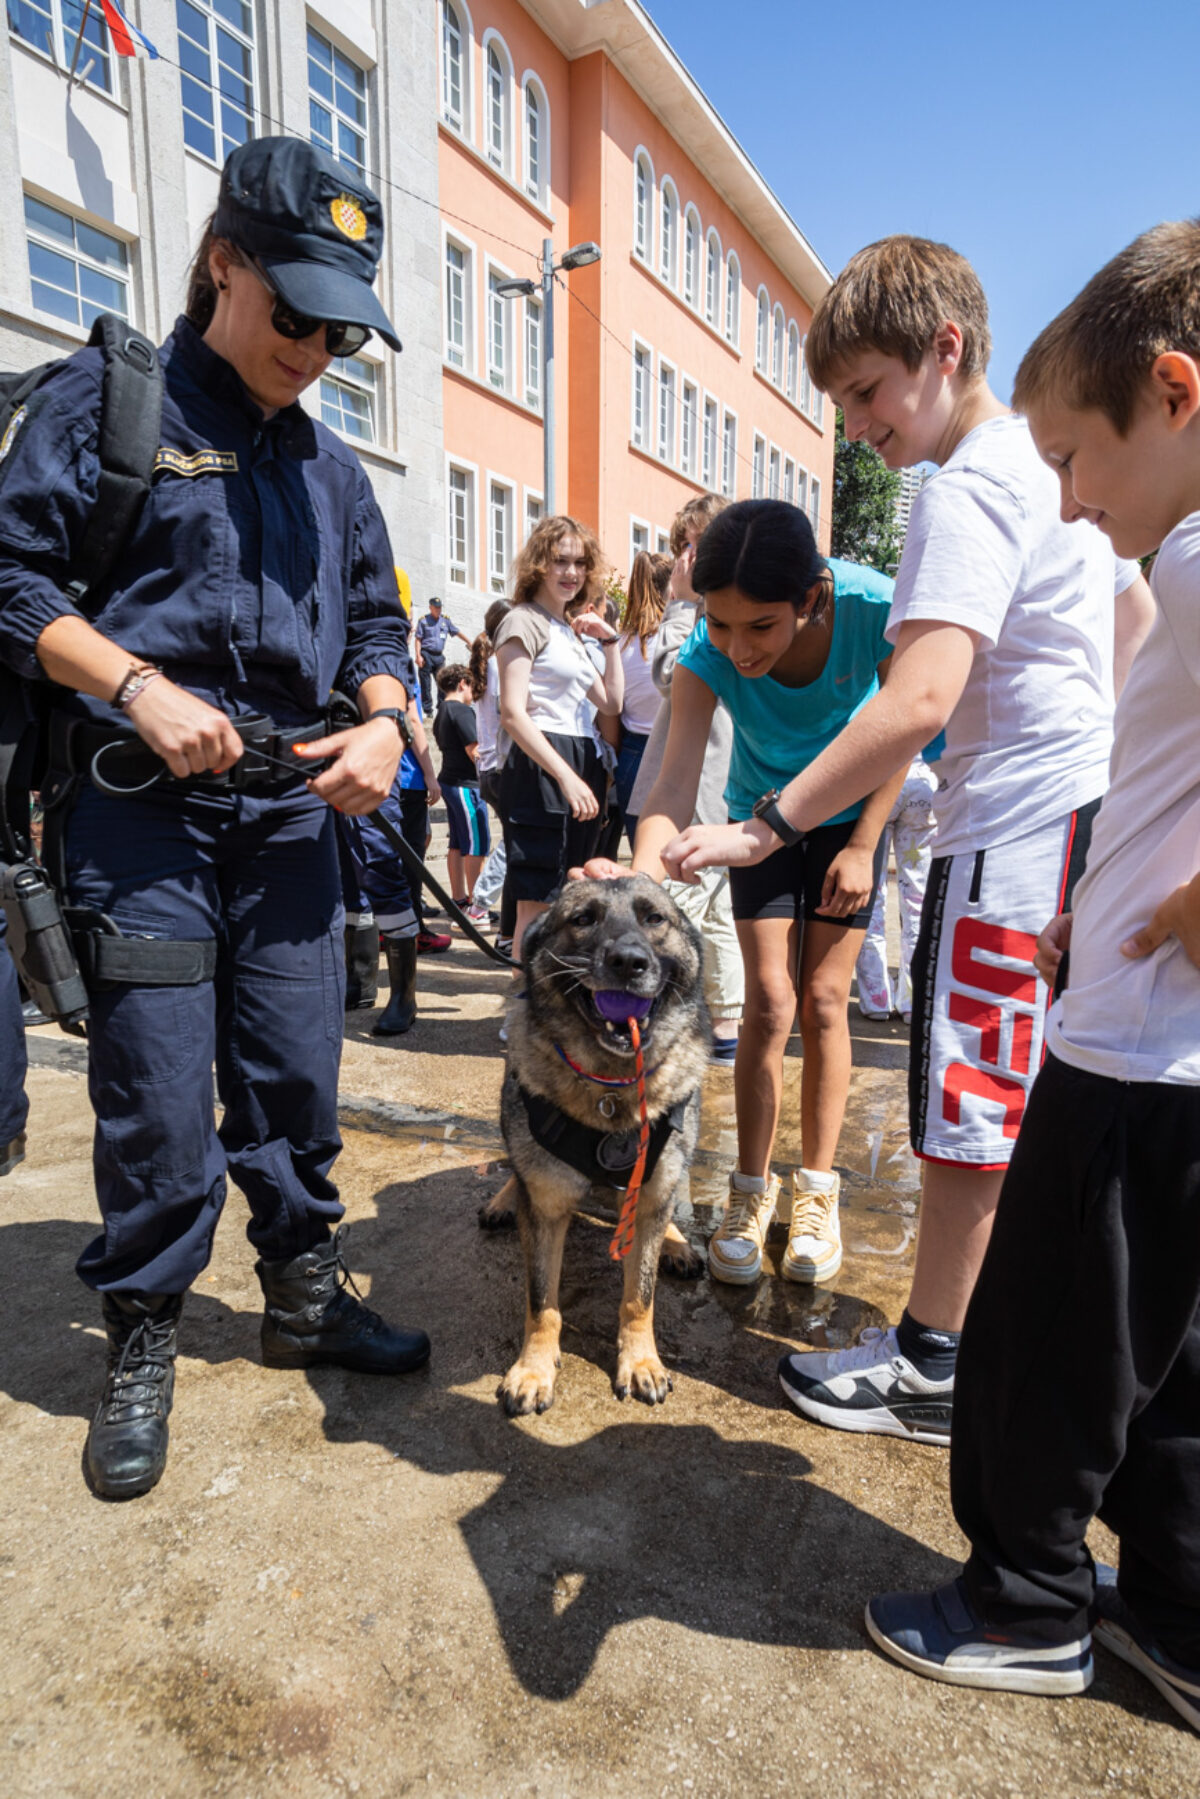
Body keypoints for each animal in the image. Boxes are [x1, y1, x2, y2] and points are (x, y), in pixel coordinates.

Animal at [500, 877, 712, 1410]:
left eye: (655, 918)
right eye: (583, 919)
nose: (629, 961)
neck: (610, 1091)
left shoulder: (651, 1191)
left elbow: (640, 1296)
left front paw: (640, 1362)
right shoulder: (547, 1205)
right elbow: (541, 1301)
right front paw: (533, 1368)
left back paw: (675, 1242)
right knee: (513, 1168)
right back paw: (504, 1198)